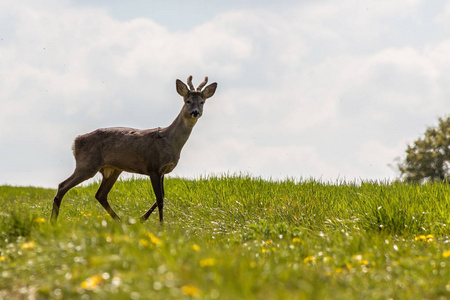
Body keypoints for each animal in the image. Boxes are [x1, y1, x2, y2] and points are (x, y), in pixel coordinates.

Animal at [49, 75, 218, 223]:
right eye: (187, 101)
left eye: (202, 102)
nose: (195, 112)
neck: (170, 141)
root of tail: (75, 141)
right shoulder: (153, 167)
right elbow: (160, 199)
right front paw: (161, 225)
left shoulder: (163, 171)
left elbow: (163, 196)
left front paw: (142, 219)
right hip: (87, 164)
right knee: (62, 186)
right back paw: (53, 221)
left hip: (113, 169)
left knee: (100, 194)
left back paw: (120, 221)